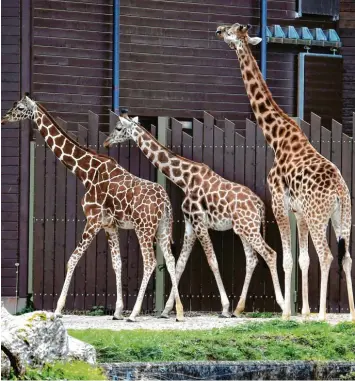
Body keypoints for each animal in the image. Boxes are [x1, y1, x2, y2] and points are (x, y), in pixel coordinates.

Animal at [2, 94, 186, 320]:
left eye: (19, 107)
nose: (4, 118)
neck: (86, 172)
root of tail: (165, 202)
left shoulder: (93, 219)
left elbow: (72, 259)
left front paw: (58, 308)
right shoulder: (109, 225)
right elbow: (117, 264)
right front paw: (117, 311)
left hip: (144, 228)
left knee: (151, 262)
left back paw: (134, 314)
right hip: (161, 228)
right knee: (170, 259)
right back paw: (178, 313)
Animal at [103, 113, 286, 318]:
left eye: (118, 128)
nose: (106, 142)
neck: (184, 179)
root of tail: (260, 205)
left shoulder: (199, 222)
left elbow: (213, 262)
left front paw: (224, 308)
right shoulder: (190, 224)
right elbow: (180, 264)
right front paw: (168, 310)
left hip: (249, 228)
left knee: (270, 254)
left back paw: (282, 306)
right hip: (244, 229)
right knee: (252, 259)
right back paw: (238, 309)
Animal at [217, 23, 355, 320]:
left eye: (233, 31)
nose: (218, 30)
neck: (276, 138)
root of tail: (340, 189)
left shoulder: (280, 203)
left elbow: (288, 257)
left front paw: (288, 314)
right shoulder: (298, 212)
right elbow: (302, 258)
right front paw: (303, 313)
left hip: (318, 216)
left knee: (327, 255)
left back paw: (324, 315)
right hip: (342, 216)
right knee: (347, 256)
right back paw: (350, 313)